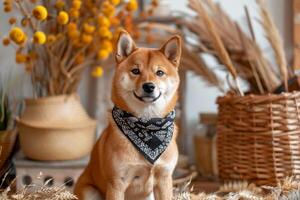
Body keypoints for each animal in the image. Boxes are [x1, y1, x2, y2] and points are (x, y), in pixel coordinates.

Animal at [74, 30, 180, 200]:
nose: (149, 86)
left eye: (160, 73)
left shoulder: (164, 179)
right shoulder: (117, 183)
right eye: (135, 71)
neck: (148, 123)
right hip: (89, 191)